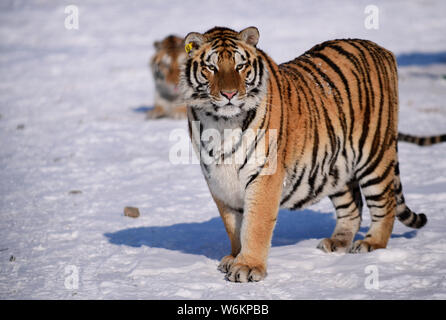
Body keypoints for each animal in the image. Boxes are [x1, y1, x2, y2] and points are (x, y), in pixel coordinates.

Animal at [179, 27, 446, 282]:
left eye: (240, 66)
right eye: (211, 67)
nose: (229, 94)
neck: (221, 123)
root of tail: (381, 49)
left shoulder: (265, 176)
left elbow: (255, 226)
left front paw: (247, 266)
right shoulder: (219, 181)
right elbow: (233, 226)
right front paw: (234, 257)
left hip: (375, 154)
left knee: (385, 204)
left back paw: (371, 244)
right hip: (336, 164)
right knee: (352, 206)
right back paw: (338, 241)